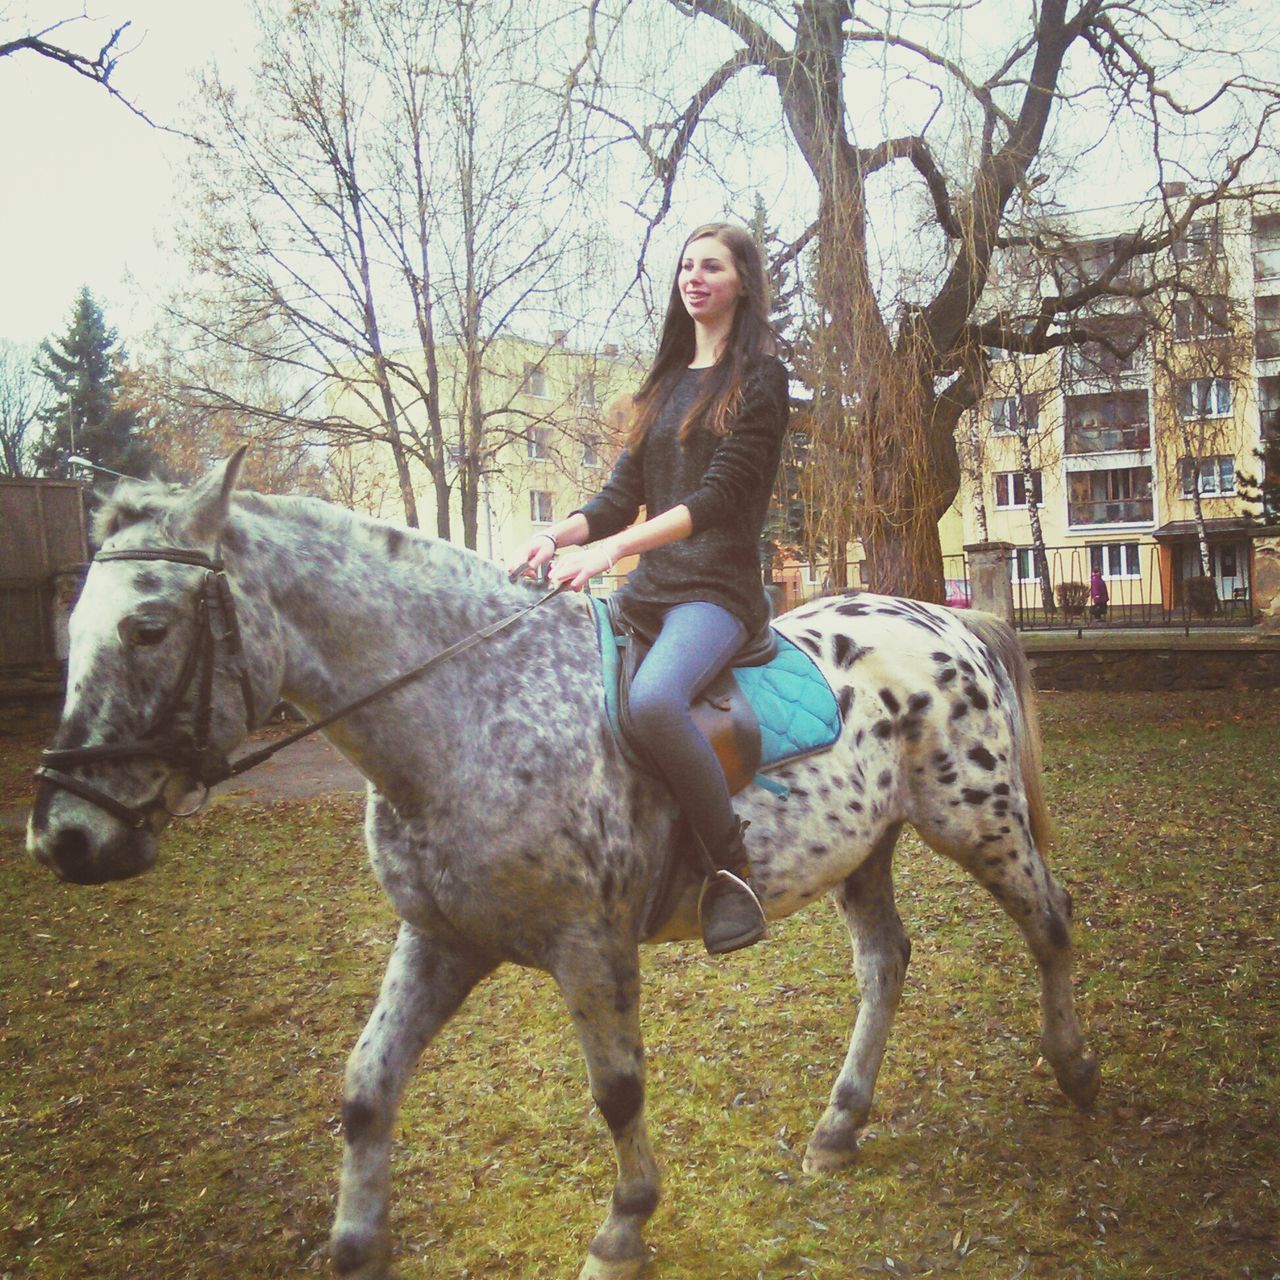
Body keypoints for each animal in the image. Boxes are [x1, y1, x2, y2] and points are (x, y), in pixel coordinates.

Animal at [24, 455, 1095, 1280]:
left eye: (148, 629)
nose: (63, 836)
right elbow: (366, 1085)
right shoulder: (440, 937)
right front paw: (357, 1242)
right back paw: (840, 1126)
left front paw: (622, 1231)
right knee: (884, 962)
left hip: (977, 819)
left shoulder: (590, 945)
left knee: (1050, 918)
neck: (469, 709)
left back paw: (1076, 1070)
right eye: (72, 627)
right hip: (864, 847)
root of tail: (947, 621)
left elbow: (617, 1090)